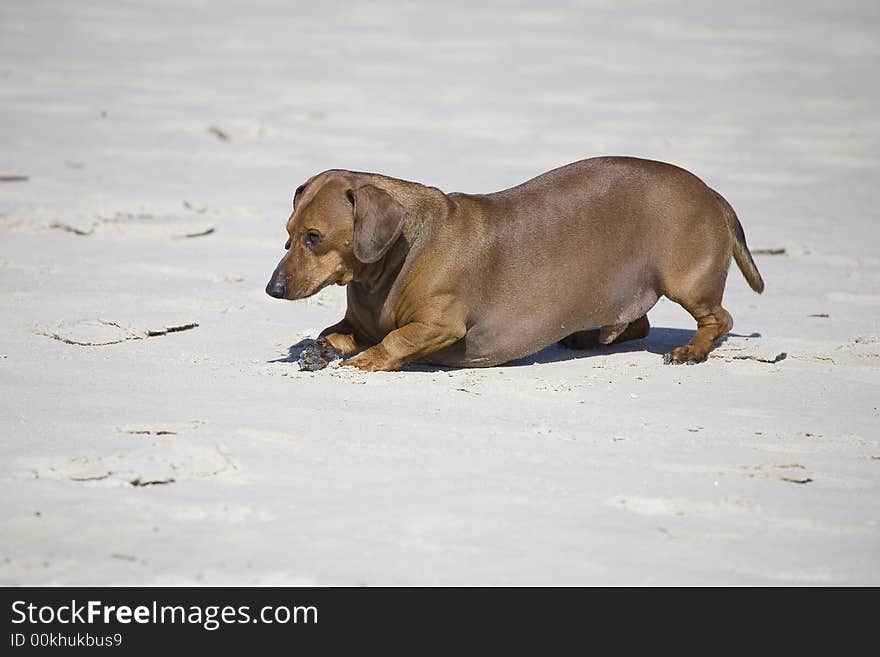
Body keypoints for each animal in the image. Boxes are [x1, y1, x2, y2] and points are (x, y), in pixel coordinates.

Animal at [266, 155, 764, 368]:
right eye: (287, 235)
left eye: (314, 237)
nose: (273, 289)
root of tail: (712, 193)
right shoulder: (360, 322)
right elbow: (335, 332)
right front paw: (322, 348)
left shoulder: (439, 326)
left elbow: (394, 341)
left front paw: (366, 360)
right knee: (636, 324)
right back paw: (587, 337)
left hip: (687, 282)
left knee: (720, 319)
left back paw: (692, 351)